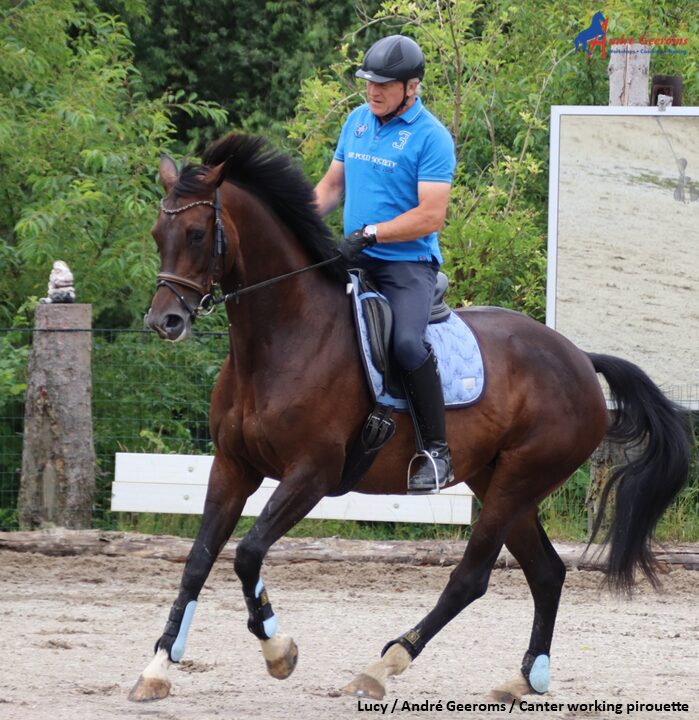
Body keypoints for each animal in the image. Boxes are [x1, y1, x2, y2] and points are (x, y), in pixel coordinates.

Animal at [130, 134, 688, 704]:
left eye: (197, 233)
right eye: (157, 233)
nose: (164, 321)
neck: (282, 339)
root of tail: (579, 358)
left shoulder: (311, 473)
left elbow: (247, 553)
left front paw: (277, 649)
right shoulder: (233, 466)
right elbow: (198, 561)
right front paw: (158, 667)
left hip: (519, 480)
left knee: (472, 578)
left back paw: (383, 666)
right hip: (499, 480)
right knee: (547, 572)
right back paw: (525, 677)